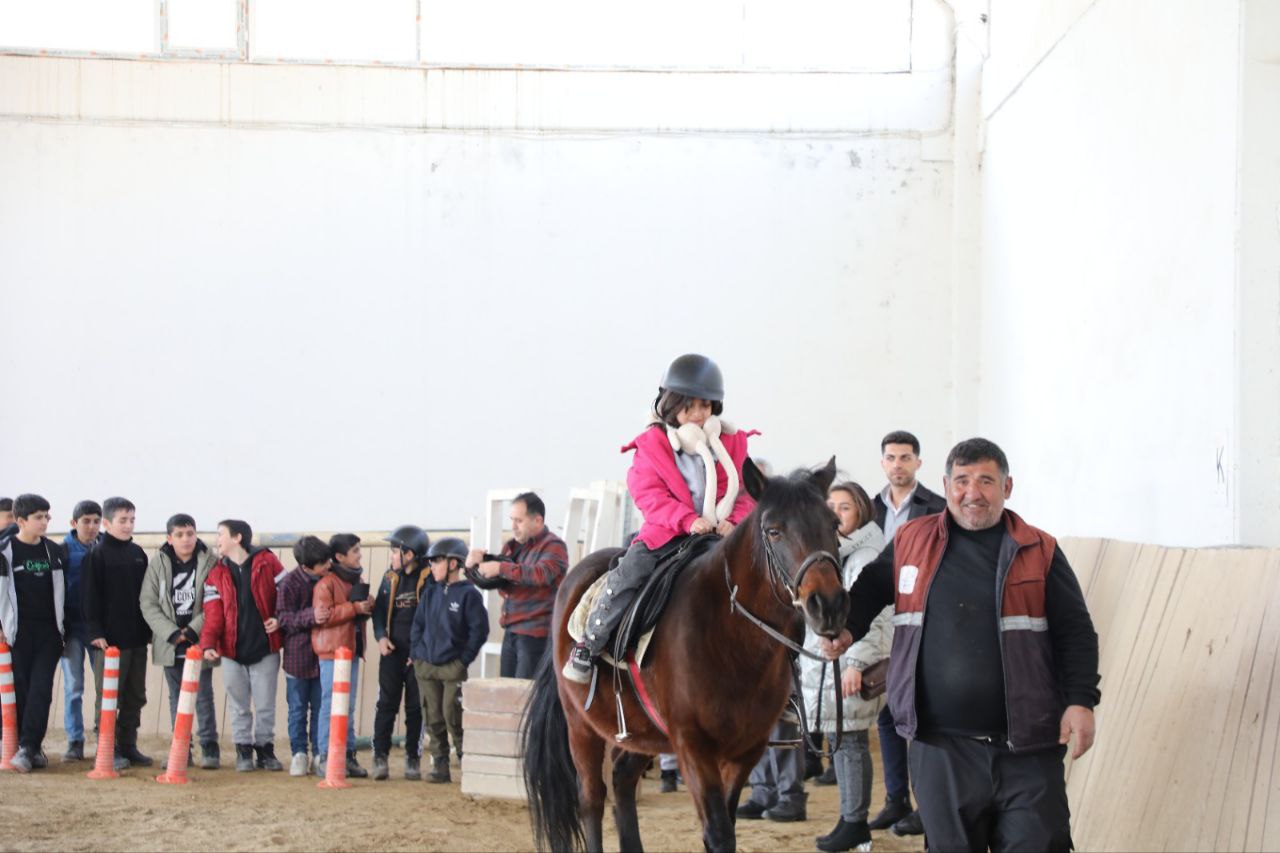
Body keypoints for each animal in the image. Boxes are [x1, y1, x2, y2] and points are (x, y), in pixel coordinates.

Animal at [519, 455, 849, 845]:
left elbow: (727, 825)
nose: (828, 605)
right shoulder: (692, 745)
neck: (731, 641)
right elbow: (718, 832)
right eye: (773, 531)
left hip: (642, 730)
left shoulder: (747, 749)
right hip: (580, 725)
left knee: (622, 778)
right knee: (591, 800)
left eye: (834, 524)